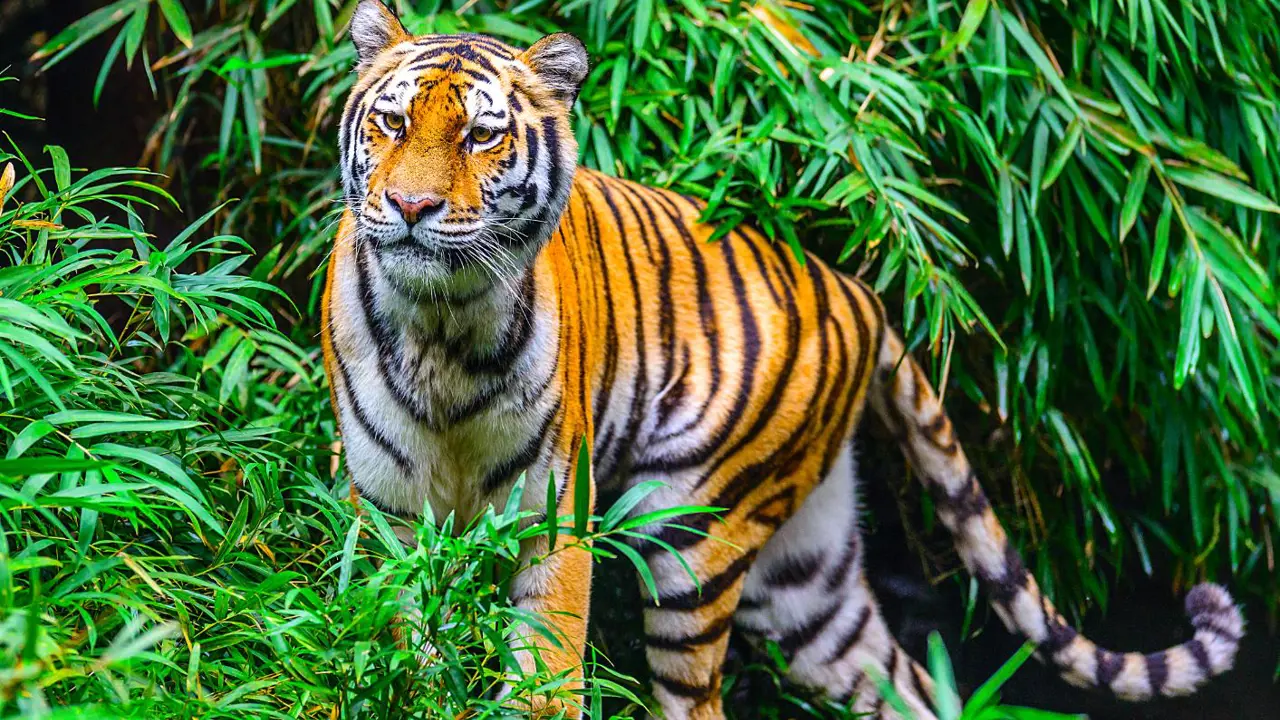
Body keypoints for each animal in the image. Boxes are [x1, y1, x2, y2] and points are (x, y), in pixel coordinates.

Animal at [322, 2, 1249, 712]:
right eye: (392, 122)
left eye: (481, 136)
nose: (411, 206)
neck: (441, 326)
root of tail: (859, 290)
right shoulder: (389, 517)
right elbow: (408, 650)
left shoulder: (554, 521)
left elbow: (543, 682)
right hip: (810, 586)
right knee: (904, 686)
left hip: (694, 537)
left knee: (698, 697)